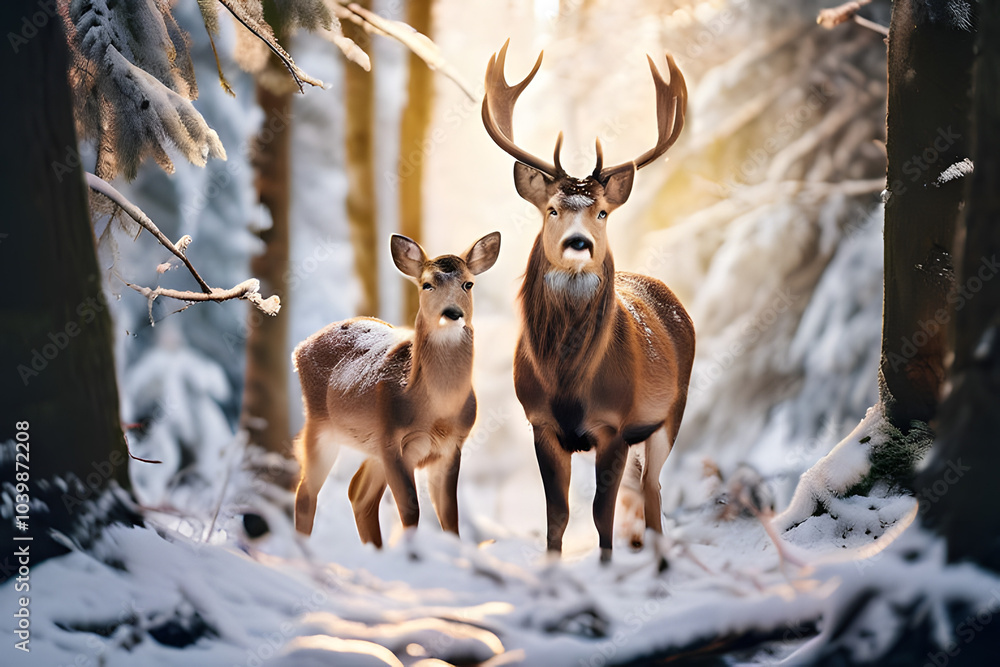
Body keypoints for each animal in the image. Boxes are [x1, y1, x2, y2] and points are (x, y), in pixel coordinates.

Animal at [292, 232, 501, 548]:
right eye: (427, 284)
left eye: (468, 283)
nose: (452, 313)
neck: (437, 413)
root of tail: (299, 348)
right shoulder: (393, 441)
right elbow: (411, 509)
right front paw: (412, 554)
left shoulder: (451, 447)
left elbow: (450, 516)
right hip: (321, 425)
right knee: (306, 492)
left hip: (371, 446)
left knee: (357, 493)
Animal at [482, 41, 695, 563]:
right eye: (552, 209)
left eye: (601, 212)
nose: (578, 243)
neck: (568, 379)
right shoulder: (539, 423)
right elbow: (556, 517)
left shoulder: (615, 425)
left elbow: (601, 515)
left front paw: (605, 568)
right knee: (643, 490)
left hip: (672, 411)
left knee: (654, 488)